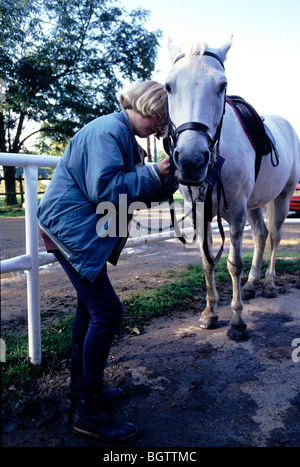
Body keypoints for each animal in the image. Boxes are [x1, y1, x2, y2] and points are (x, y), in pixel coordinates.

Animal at [166, 38, 300, 340]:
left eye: (222, 86)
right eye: (168, 86)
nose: (191, 161)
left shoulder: (237, 211)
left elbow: (233, 264)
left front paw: (237, 321)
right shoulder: (201, 213)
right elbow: (207, 261)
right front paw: (210, 313)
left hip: (282, 198)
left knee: (274, 237)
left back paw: (269, 284)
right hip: (254, 204)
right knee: (261, 236)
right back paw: (251, 284)